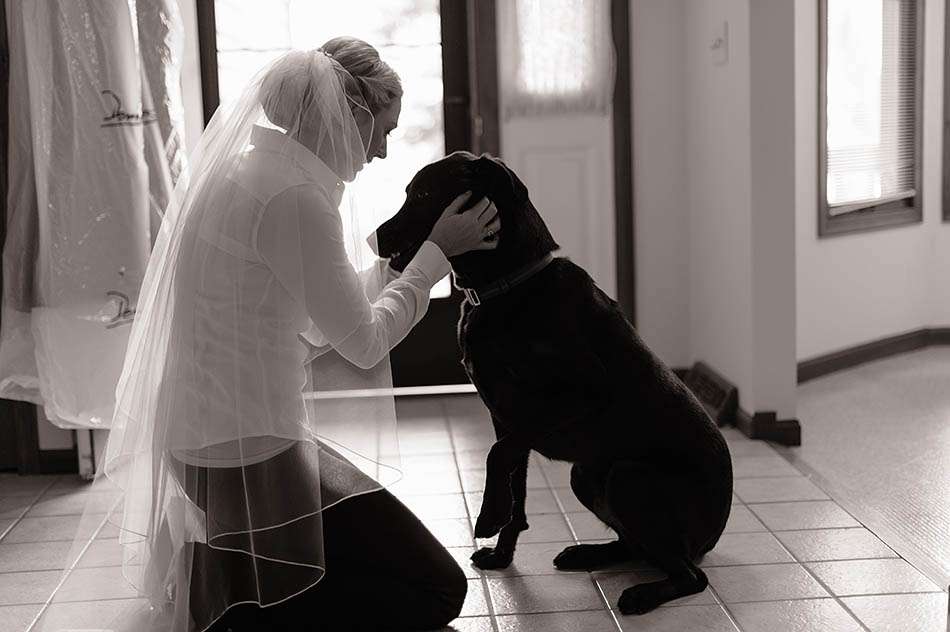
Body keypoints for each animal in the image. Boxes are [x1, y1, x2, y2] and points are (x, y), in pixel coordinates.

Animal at [374, 151, 736, 616]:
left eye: (420, 194)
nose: (375, 238)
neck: (507, 285)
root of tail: (713, 537)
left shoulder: (576, 395)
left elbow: (498, 456)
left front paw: (489, 515)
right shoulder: (506, 418)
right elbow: (515, 482)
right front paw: (502, 552)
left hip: (628, 476)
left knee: (690, 575)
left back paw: (642, 594)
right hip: (586, 475)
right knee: (639, 548)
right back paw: (589, 553)